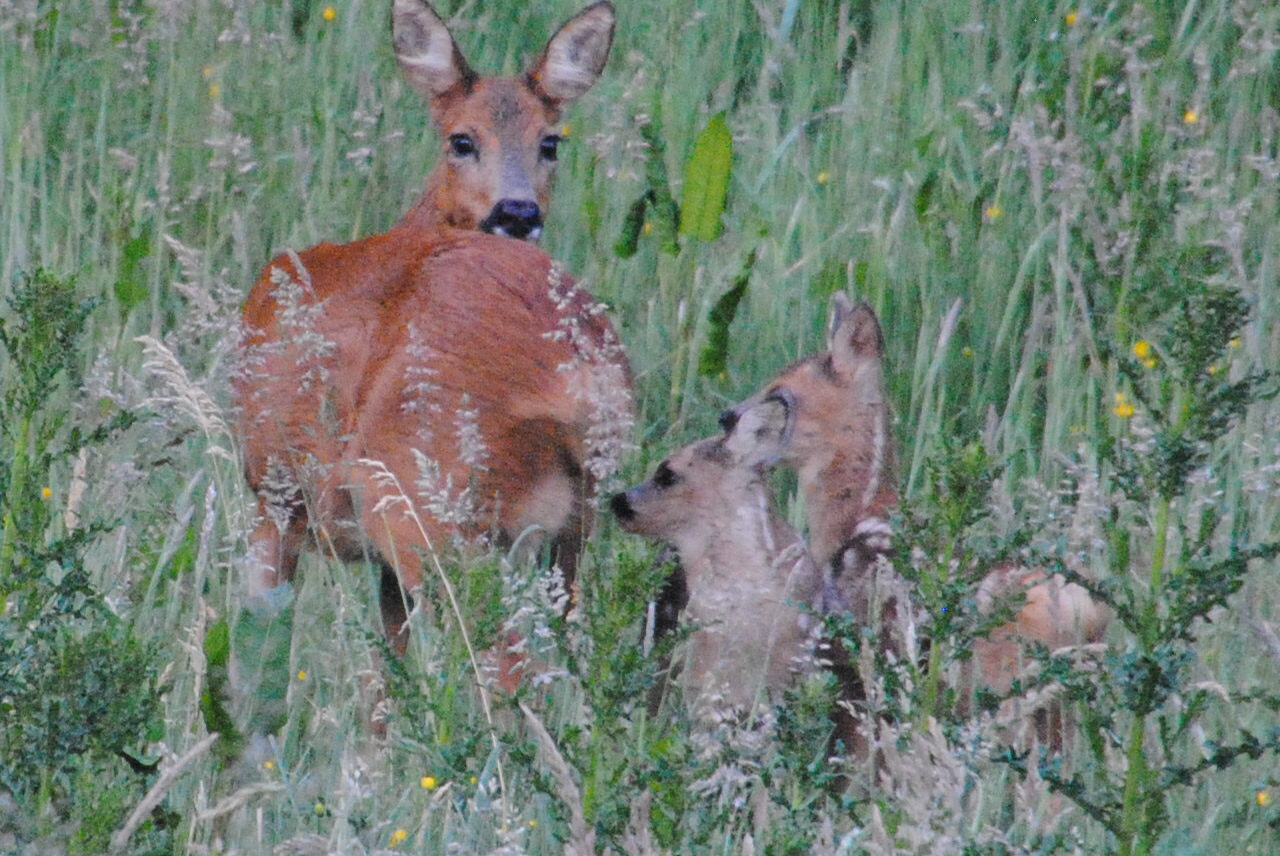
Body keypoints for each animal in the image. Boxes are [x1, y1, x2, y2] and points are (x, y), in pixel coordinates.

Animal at [233, 0, 630, 667]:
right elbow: (387, 670)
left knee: (504, 658)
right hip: (578, 519)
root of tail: (578, 372)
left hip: (427, 503)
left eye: (549, 142)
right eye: (461, 140)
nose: (518, 213)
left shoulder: (275, 497)